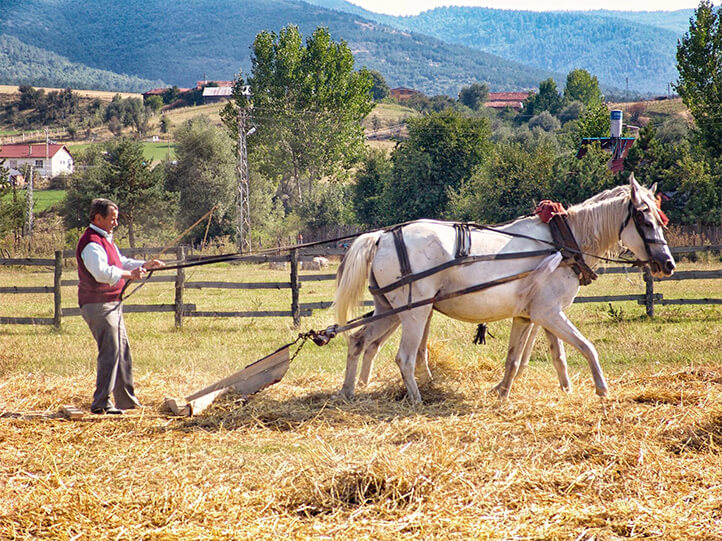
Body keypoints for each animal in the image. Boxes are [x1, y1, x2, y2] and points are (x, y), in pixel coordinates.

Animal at [334, 175, 672, 402]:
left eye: (660, 220)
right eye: (645, 220)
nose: (667, 263)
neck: (562, 244)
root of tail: (382, 236)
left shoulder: (532, 315)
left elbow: (532, 357)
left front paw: (509, 390)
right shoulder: (549, 313)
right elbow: (586, 346)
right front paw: (602, 389)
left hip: (389, 309)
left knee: (358, 341)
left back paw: (349, 391)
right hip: (414, 313)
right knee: (404, 357)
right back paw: (417, 398)